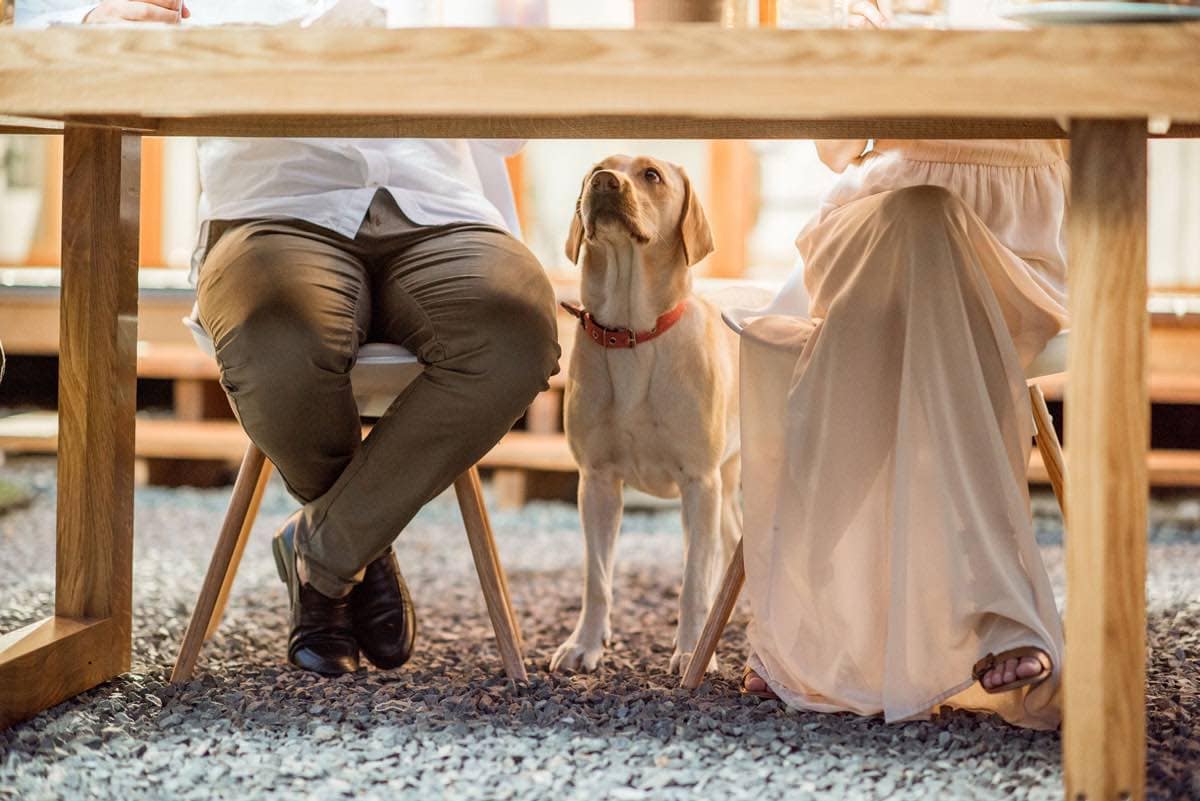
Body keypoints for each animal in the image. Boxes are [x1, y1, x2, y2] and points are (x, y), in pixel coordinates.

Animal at [549, 155, 739, 676]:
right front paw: (584, 644)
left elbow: (693, 581)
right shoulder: (596, 482)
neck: (633, 334)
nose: (603, 182)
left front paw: (692, 651)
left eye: (651, 175)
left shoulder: (699, 483)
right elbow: (597, 578)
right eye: (596, 167)